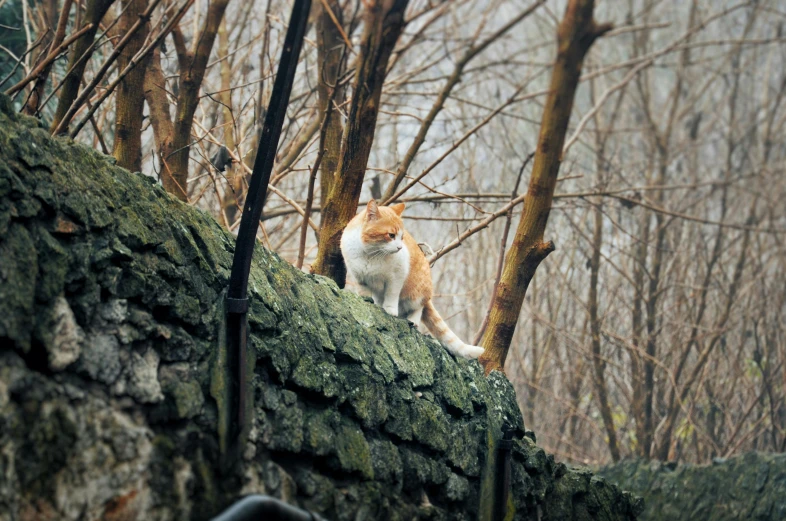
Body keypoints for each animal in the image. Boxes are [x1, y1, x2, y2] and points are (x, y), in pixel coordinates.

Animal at [342, 199, 484, 358]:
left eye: (402, 237)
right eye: (391, 235)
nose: (399, 247)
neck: (371, 254)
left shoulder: (397, 275)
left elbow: (392, 294)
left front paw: (390, 309)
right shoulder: (360, 278)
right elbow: (364, 292)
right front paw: (368, 302)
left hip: (417, 292)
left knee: (419, 306)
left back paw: (413, 320)